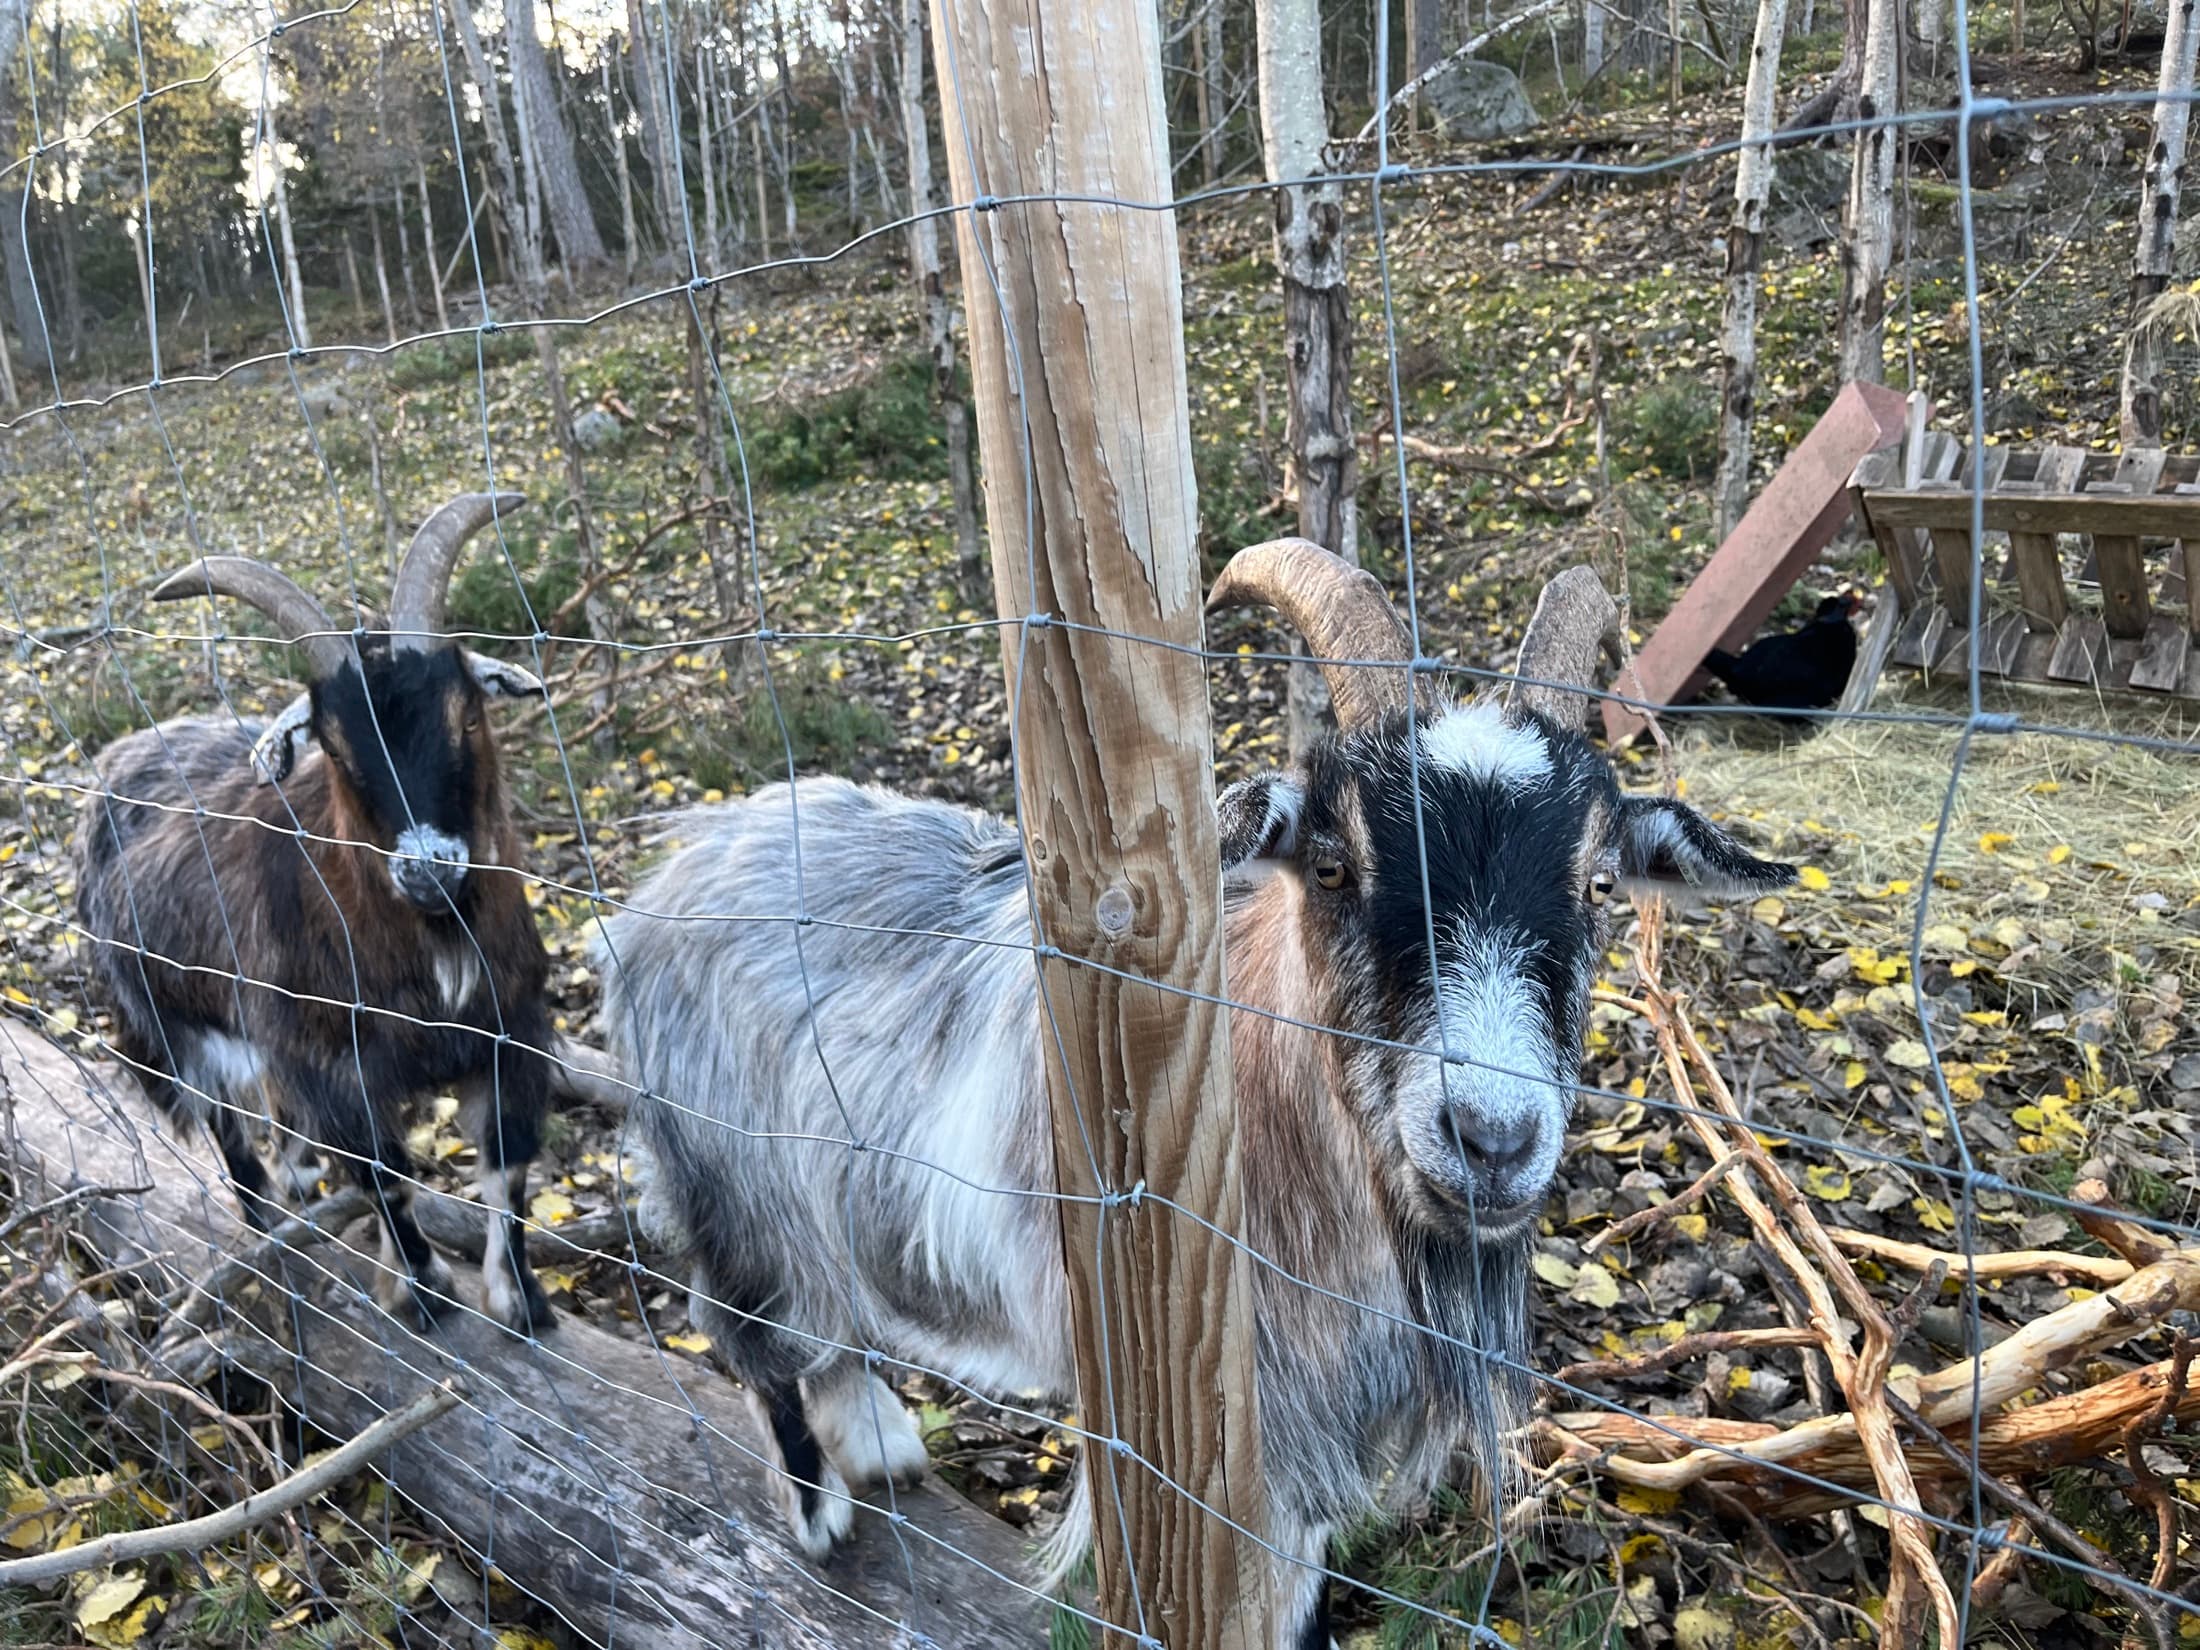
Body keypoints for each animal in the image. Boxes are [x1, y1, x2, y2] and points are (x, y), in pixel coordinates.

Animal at [73, 493, 559, 1333]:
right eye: (333, 746)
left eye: (467, 716)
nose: (427, 867)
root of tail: (119, 754)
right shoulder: (334, 1064)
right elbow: (385, 1172)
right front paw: (421, 1290)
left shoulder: (513, 1031)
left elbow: (509, 1164)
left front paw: (521, 1299)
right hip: (171, 1020)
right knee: (230, 1134)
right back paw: (273, 1234)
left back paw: (299, 1188)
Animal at [596, 545, 1793, 1646]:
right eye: (1333, 867)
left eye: (1596, 883)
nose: (1492, 1138)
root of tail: (674, 868)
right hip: (731, 1173)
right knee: (755, 1332)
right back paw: (820, 1513)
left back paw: (882, 1450)